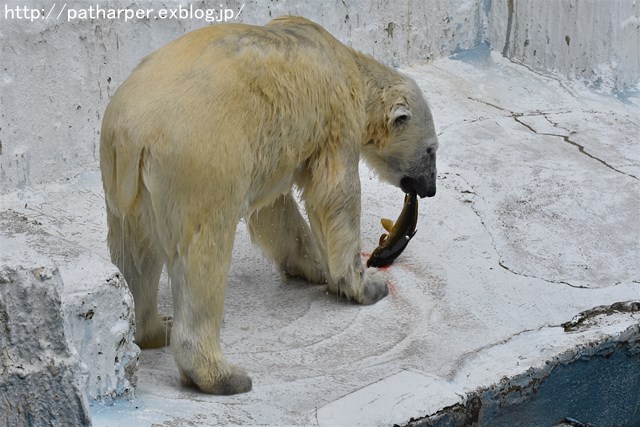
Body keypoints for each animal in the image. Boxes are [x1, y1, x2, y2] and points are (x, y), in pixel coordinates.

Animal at [100, 17, 438, 398]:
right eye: (431, 150)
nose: (430, 189)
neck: (349, 65)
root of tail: (134, 135)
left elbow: (274, 211)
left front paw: (312, 267)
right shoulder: (335, 118)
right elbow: (335, 195)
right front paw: (365, 286)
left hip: (125, 186)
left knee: (136, 254)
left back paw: (155, 328)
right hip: (200, 162)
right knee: (202, 255)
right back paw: (221, 375)